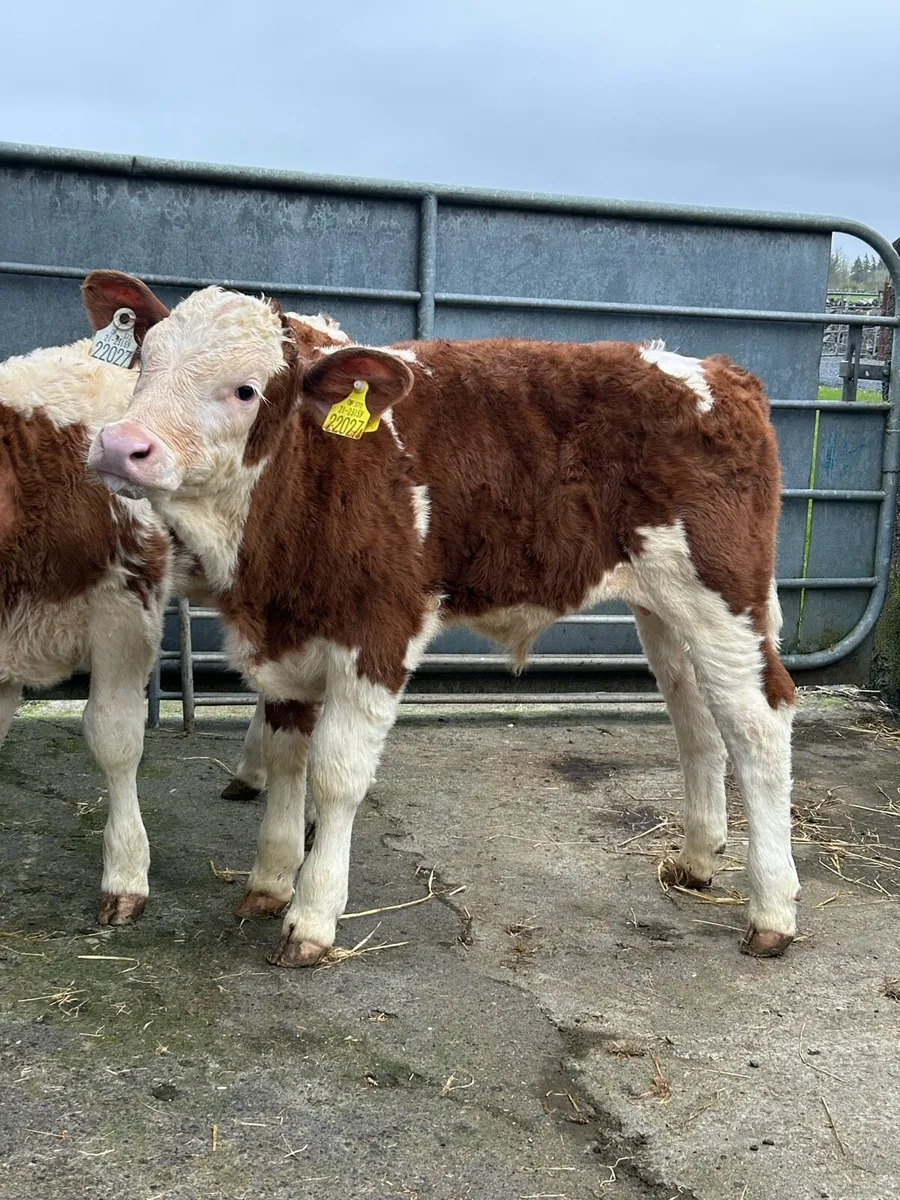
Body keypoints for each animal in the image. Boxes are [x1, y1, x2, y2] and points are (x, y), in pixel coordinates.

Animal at [87, 270, 800, 967]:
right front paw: (269, 881)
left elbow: (335, 773)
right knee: (695, 716)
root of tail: (717, 371)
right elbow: (287, 757)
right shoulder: (286, 639)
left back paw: (772, 912)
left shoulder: (381, 626)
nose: (121, 446)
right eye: (146, 360)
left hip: (722, 593)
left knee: (758, 722)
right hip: (664, 607)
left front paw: (312, 916)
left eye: (246, 389)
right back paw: (697, 860)